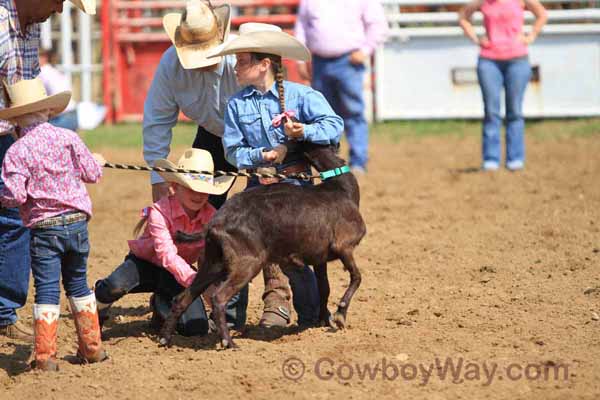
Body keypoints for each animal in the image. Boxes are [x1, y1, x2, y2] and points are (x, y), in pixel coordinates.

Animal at [159, 143, 366, 346]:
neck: (340, 188)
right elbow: (357, 277)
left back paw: (165, 338)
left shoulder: (320, 259)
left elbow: (324, 287)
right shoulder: (344, 247)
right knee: (219, 298)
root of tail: (216, 221)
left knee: (182, 298)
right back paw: (228, 342)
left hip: (213, 264)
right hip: (246, 264)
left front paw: (324, 321)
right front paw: (340, 315)